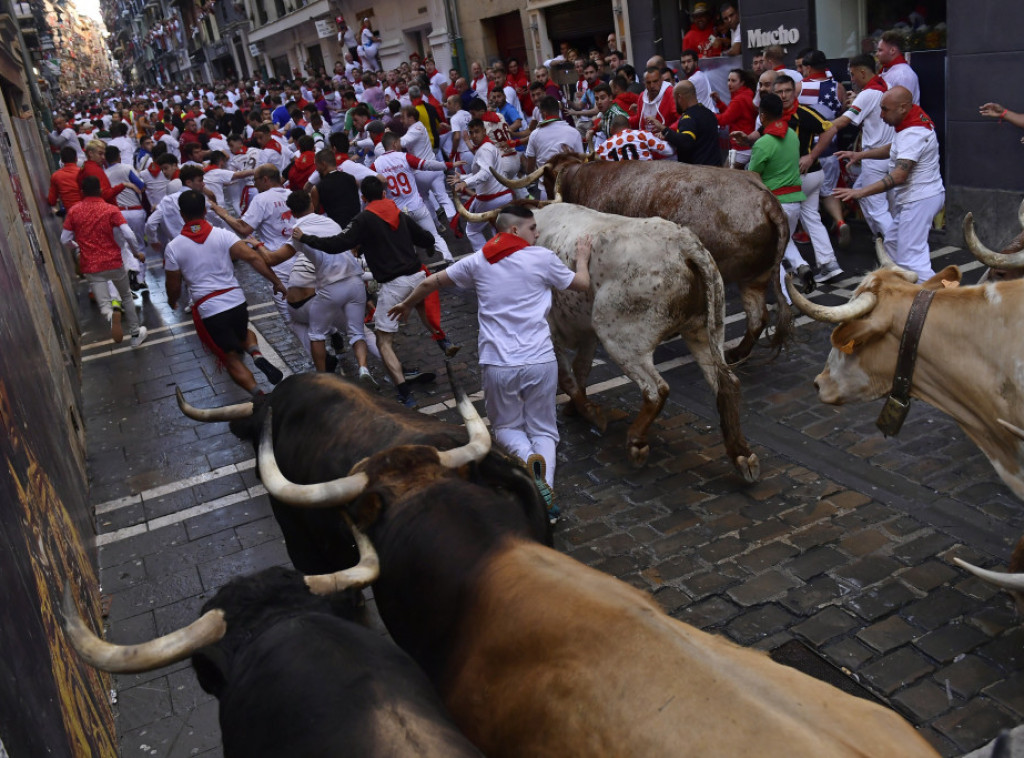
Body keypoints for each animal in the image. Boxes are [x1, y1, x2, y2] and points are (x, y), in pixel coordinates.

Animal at [456, 198, 761, 477]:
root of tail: (684, 244)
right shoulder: (587, 334)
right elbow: (581, 370)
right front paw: (576, 408)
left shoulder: (552, 332)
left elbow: (568, 378)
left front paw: (589, 412)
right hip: (704, 330)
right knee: (726, 383)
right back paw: (742, 454)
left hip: (619, 337)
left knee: (656, 389)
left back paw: (636, 442)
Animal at [493, 152, 790, 362]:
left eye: (545, 179)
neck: (582, 178)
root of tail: (766, 199)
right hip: (755, 277)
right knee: (757, 318)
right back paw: (738, 353)